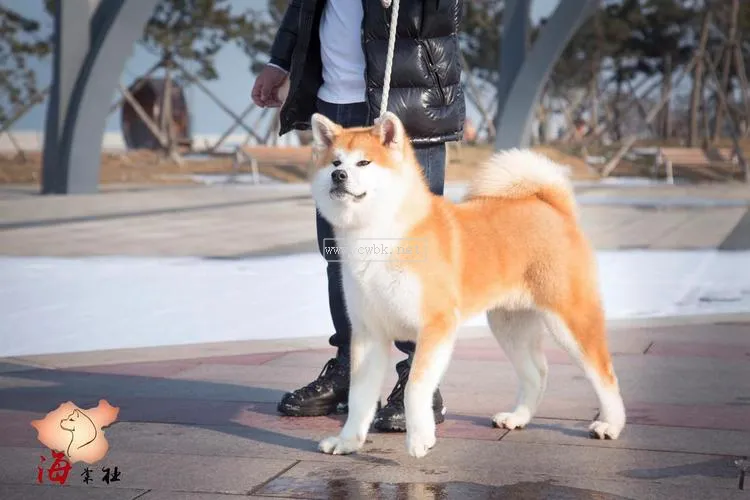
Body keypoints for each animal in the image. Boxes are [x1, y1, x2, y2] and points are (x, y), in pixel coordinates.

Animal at [308, 112, 624, 458]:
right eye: (335, 161)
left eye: (364, 162)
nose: (338, 175)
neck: (379, 235)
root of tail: (552, 207)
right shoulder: (368, 333)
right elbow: (359, 397)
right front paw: (347, 442)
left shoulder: (436, 326)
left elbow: (415, 387)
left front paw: (420, 438)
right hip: (509, 325)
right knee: (537, 373)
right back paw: (518, 417)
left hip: (569, 320)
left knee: (604, 373)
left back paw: (611, 424)